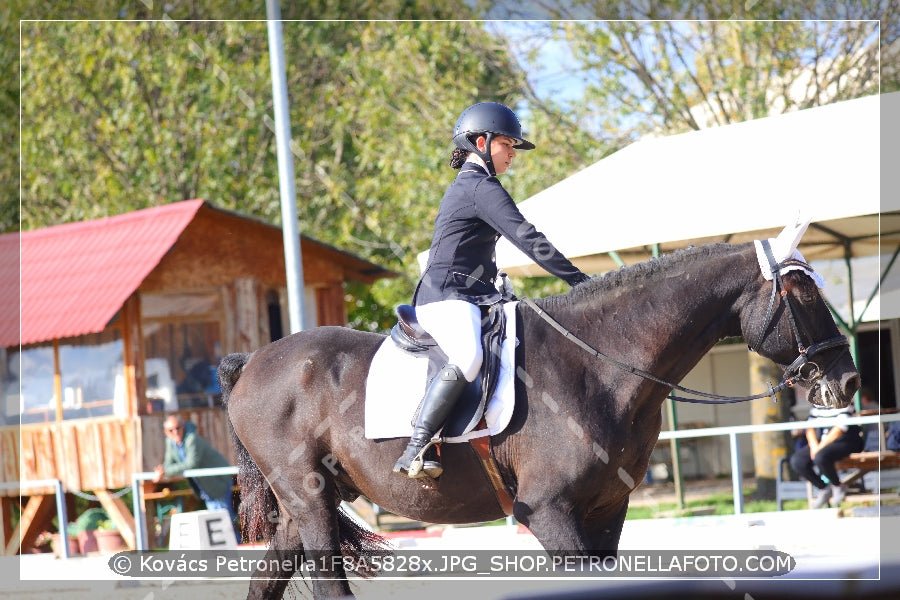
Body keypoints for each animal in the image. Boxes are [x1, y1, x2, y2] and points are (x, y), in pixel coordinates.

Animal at [218, 237, 856, 596]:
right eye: (803, 296)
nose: (849, 381)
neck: (601, 363)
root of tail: (253, 360)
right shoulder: (548, 512)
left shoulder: (606, 511)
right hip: (308, 499)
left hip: (301, 510)